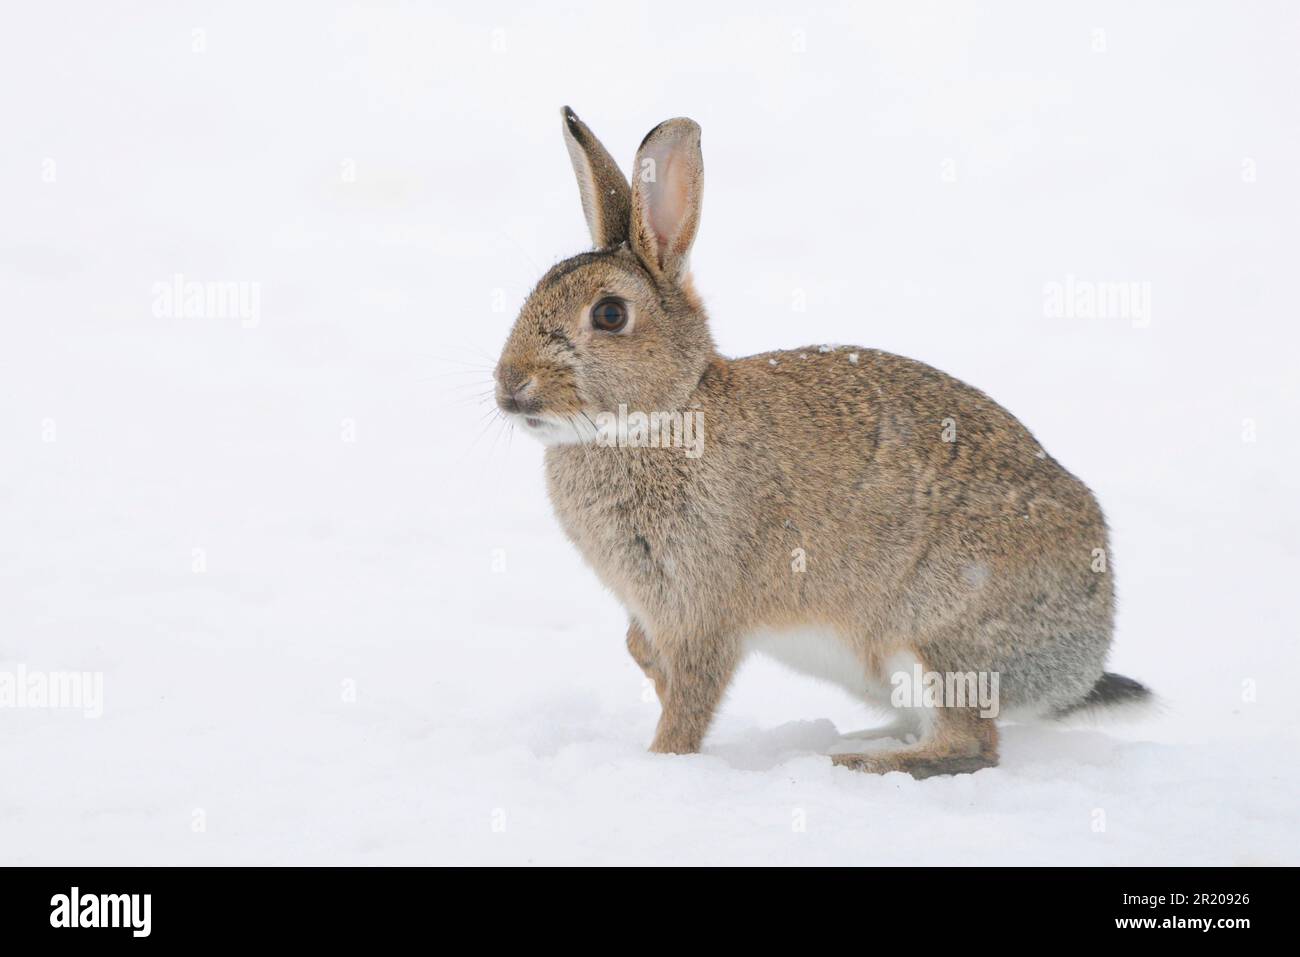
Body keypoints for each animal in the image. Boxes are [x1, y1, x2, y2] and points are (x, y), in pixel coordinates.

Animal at [488, 106, 1149, 780]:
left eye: (610, 315)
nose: (510, 384)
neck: (663, 414)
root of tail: (1083, 659)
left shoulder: (705, 612)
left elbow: (693, 699)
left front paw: (664, 761)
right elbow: (641, 652)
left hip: (937, 636)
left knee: (970, 745)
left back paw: (854, 761)